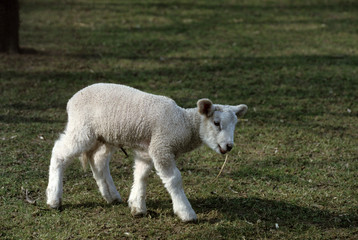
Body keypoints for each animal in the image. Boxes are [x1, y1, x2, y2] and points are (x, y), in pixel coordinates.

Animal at [46, 82, 248, 221]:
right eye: (216, 123)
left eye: (235, 125)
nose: (229, 146)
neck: (184, 123)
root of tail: (72, 100)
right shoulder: (161, 147)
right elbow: (174, 179)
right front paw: (186, 212)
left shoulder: (148, 150)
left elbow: (141, 175)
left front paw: (136, 206)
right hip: (82, 129)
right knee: (59, 152)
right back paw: (54, 198)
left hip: (104, 136)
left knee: (98, 160)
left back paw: (111, 195)